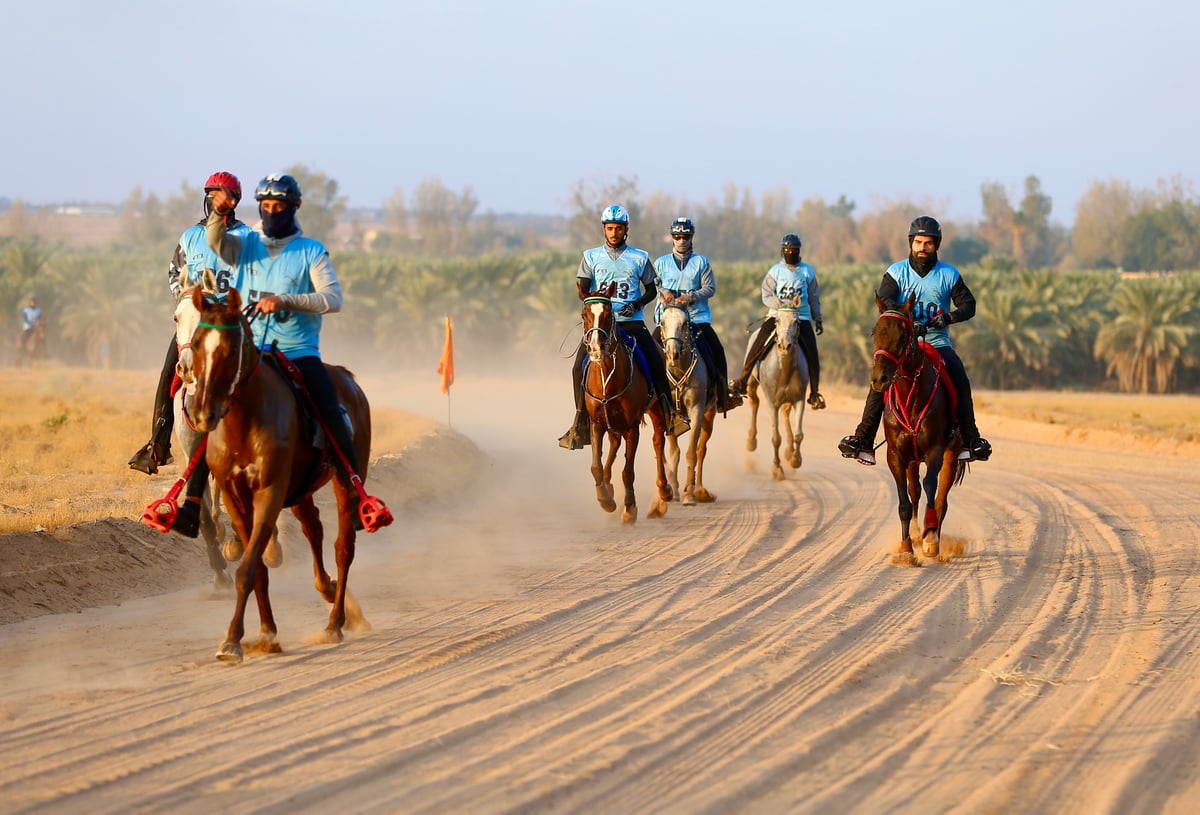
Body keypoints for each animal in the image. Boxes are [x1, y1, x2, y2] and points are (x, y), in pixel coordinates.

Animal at [178, 283, 369, 657]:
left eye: (231, 348)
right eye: (196, 342)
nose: (203, 410)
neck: (244, 423)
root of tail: (349, 379)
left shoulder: (269, 491)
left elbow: (249, 566)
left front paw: (233, 641)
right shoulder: (236, 496)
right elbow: (256, 568)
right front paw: (265, 633)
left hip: (346, 480)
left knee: (343, 548)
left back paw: (336, 622)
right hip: (301, 491)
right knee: (313, 529)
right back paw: (326, 589)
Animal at [583, 282, 676, 523]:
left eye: (608, 314)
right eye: (584, 314)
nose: (596, 347)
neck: (607, 377)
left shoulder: (632, 427)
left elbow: (628, 471)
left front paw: (630, 508)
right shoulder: (597, 423)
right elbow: (595, 466)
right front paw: (605, 499)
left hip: (655, 412)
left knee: (658, 442)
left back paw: (664, 491)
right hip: (613, 423)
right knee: (615, 444)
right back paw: (608, 486)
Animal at [657, 300, 710, 504]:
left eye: (684, 323)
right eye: (663, 322)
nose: (673, 354)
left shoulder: (697, 410)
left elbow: (691, 453)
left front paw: (689, 495)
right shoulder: (669, 412)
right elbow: (674, 454)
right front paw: (675, 490)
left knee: (701, 450)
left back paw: (700, 489)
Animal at [744, 309, 811, 482]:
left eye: (796, 322)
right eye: (777, 321)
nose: (785, 345)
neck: (784, 369)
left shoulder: (799, 400)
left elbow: (799, 434)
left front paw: (795, 460)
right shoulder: (772, 403)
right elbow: (775, 438)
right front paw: (777, 469)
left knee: (785, 413)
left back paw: (789, 452)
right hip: (751, 383)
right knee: (754, 402)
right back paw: (751, 442)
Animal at [868, 295, 969, 566]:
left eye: (904, 335)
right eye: (875, 332)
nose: (880, 379)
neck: (910, 395)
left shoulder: (936, 450)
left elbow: (932, 487)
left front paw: (930, 539)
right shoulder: (895, 455)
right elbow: (905, 502)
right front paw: (906, 549)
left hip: (951, 455)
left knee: (941, 498)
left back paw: (932, 539)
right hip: (912, 459)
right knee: (914, 492)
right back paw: (914, 534)